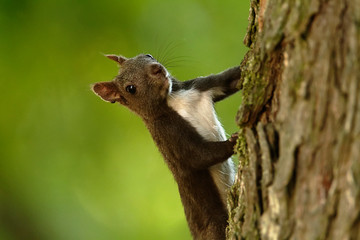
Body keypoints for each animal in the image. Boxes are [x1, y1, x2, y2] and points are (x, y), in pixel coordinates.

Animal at [91, 54, 240, 240]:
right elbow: (198, 156)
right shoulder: (168, 132)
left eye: (146, 56)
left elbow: (232, 79)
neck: (174, 100)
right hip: (215, 223)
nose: (156, 69)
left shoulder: (198, 87)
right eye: (130, 88)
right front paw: (235, 140)